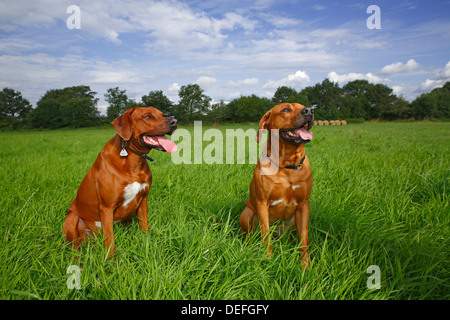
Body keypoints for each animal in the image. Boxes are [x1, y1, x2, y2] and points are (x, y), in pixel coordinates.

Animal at [64, 106, 177, 256]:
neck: (133, 163)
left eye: (162, 114)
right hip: (71, 218)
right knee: (74, 247)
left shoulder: (143, 200)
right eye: (147, 116)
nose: (174, 121)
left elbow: (144, 226)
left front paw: (148, 245)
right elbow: (109, 240)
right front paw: (111, 259)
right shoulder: (107, 207)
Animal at [239, 103, 312, 268]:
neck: (287, 164)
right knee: (249, 236)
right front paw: (268, 260)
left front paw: (305, 265)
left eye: (303, 106)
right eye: (286, 109)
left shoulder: (304, 204)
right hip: (247, 213)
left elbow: (304, 238)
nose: (310, 111)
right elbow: (266, 235)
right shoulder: (262, 203)